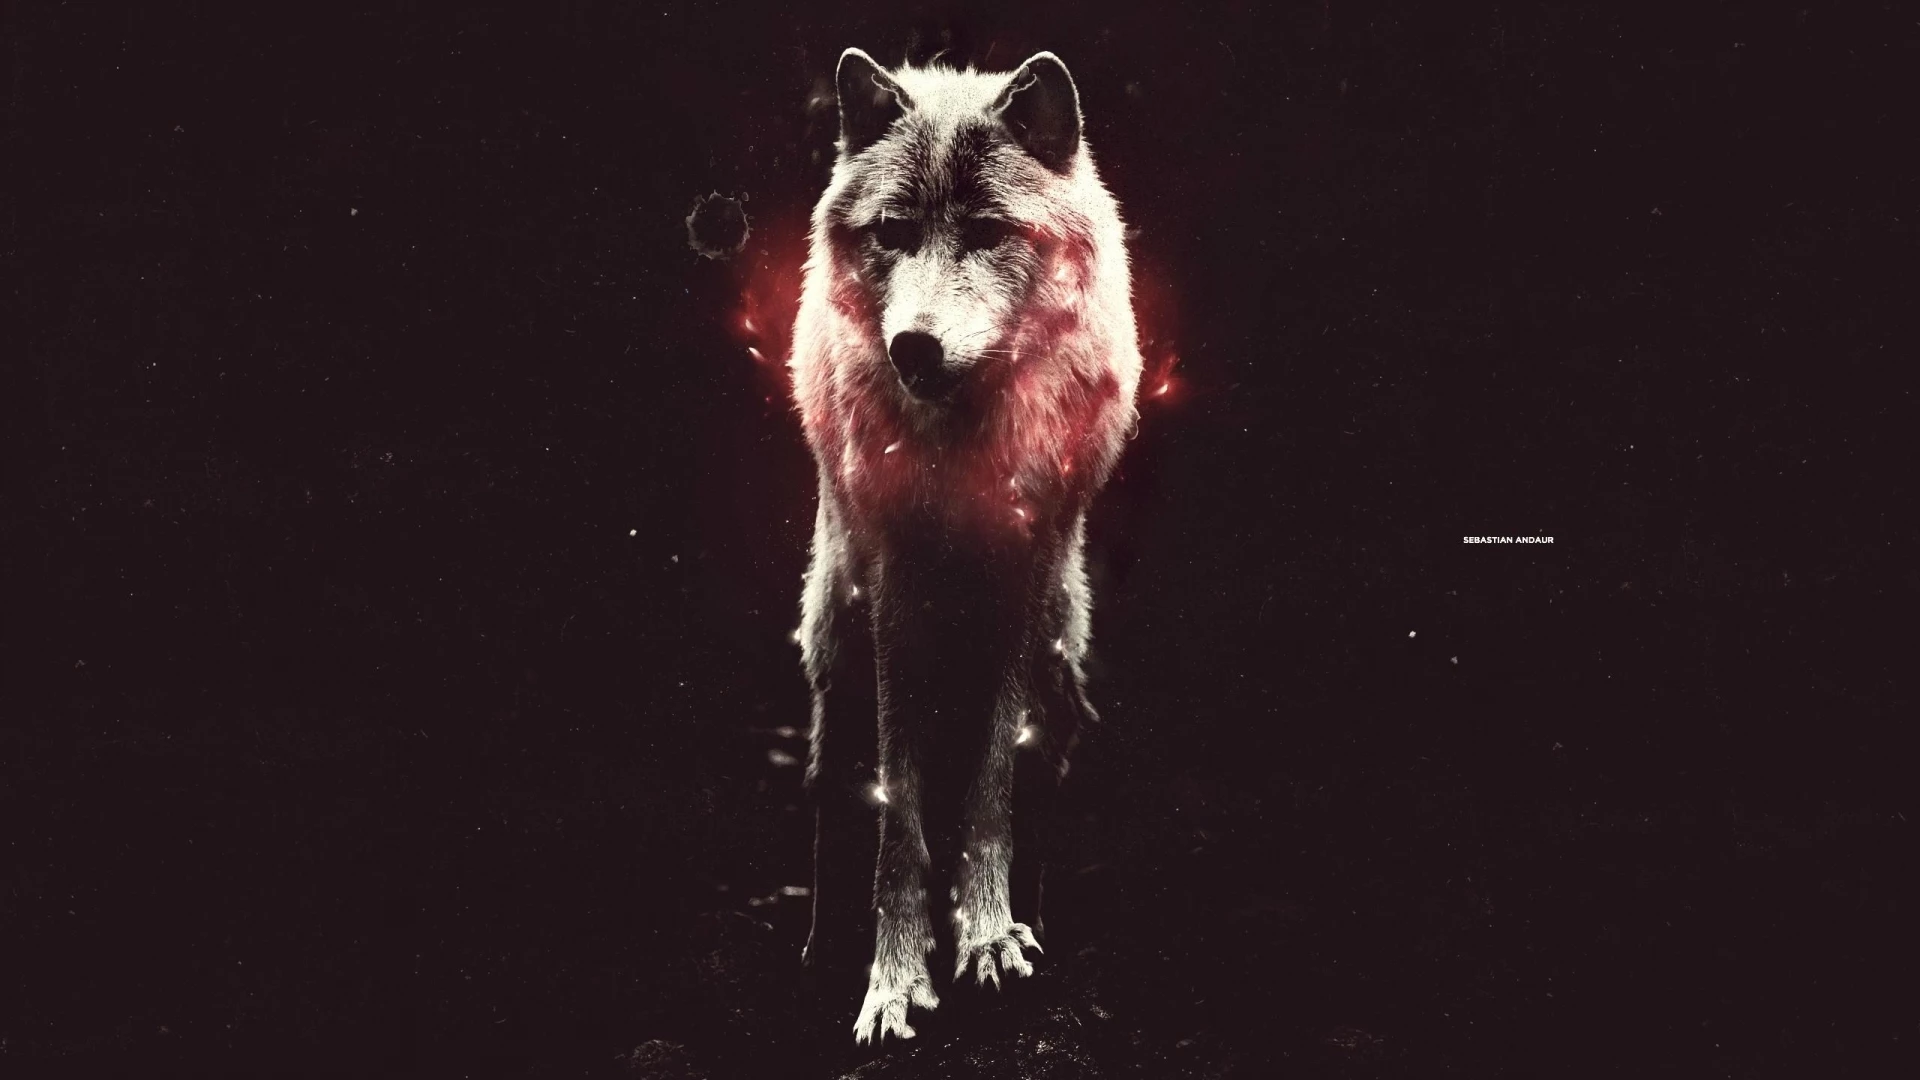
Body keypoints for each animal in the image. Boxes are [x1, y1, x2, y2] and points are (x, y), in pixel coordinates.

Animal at [787, 46, 1143, 1045]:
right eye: (894, 232)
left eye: (987, 232)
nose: (913, 347)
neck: (962, 451)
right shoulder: (891, 590)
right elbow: (897, 813)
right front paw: (893, 978)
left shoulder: (1025, 581)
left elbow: (990, 784)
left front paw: (988, 936)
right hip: (833, 645)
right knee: (832, 786)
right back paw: (821, 949)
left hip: (1063, 648)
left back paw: (1033, 912)